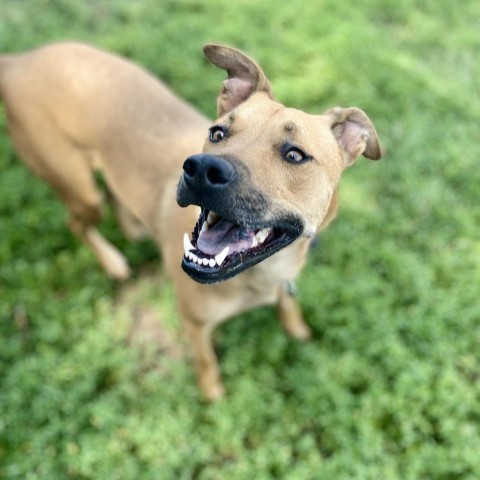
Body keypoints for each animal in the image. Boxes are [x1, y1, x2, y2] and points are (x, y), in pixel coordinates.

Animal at [0, 43, 382, 400]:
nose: (201, 170)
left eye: (294, 155)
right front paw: (213, 395)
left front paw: (297, 329)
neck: (261, 274)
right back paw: (113, 261)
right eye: (217, 133)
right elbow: (207, 361)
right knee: (77, 223)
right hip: (78, 189)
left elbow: (289, 305)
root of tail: (19, 60)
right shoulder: (194, 323)